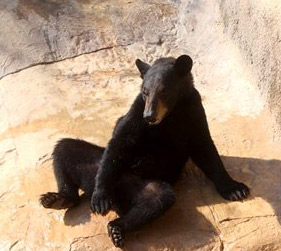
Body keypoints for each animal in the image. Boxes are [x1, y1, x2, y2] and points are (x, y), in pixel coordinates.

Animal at [40, 55, 248, 247]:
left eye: (163, 91)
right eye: (145, 92)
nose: (149, 116)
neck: (170, 113)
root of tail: (117, 200)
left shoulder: (193, 109)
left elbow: (203, 146)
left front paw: (236, 189)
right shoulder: (137, 108)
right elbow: (121, 139)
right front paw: (100, 197)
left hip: (137, 186)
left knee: (157, 197)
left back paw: (116, 227)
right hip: (96, 164)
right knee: (66, 148)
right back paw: (58, 198)